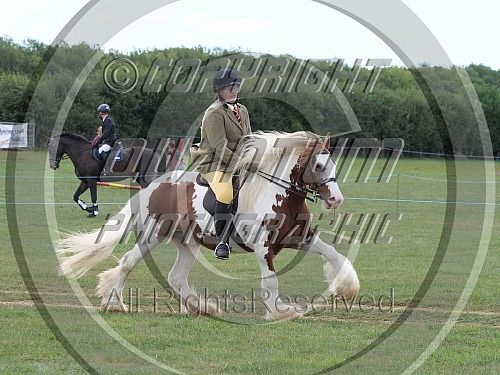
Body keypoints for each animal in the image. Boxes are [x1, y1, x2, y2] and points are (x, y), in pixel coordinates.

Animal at [56, 131, 358, 320]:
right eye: (318, 166)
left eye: (332, 164)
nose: (336, 199)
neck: (280, 194)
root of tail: (151, 187)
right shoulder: (263, 247)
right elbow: (271, 280)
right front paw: (280, 311)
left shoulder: (301, 238)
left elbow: (335, 255)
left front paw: (347, 288)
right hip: (152, 235)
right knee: (128, 262)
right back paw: (114, 303)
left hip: (188, 243)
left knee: (176, 277)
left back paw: (201, 308)